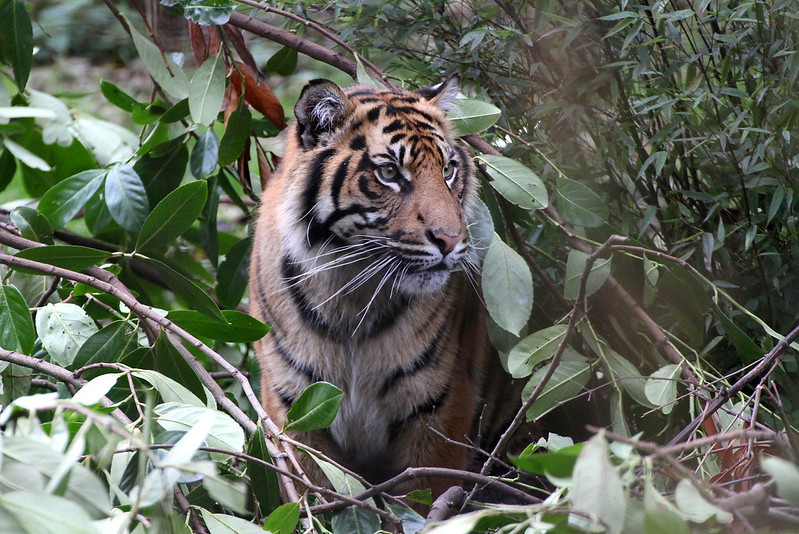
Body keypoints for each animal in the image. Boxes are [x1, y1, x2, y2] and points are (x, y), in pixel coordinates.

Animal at [250, 74, 520, 498]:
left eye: (448, 170)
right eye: (390, 173)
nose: (451, 240)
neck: (352, 292)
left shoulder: (439, 408)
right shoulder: (294, 408)